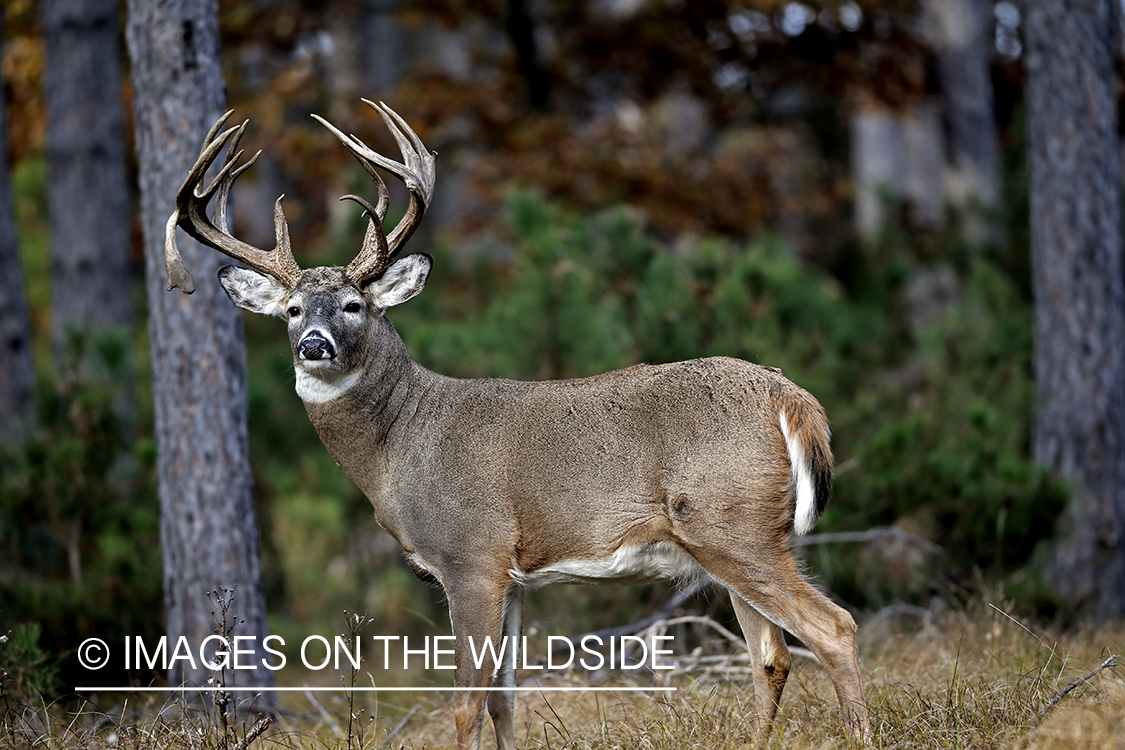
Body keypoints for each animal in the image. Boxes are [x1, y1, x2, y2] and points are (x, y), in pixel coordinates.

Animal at [164, 101, 868, 750]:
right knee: (771, 656)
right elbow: (505, 698)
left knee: (834, 627)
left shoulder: (471, 556)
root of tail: (789, 394)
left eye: (353, 304)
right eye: (290, 310)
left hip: (732, 524)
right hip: (732, 539)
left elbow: (465, 703)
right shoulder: (514, 577)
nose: (314, 343)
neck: (398, 446)